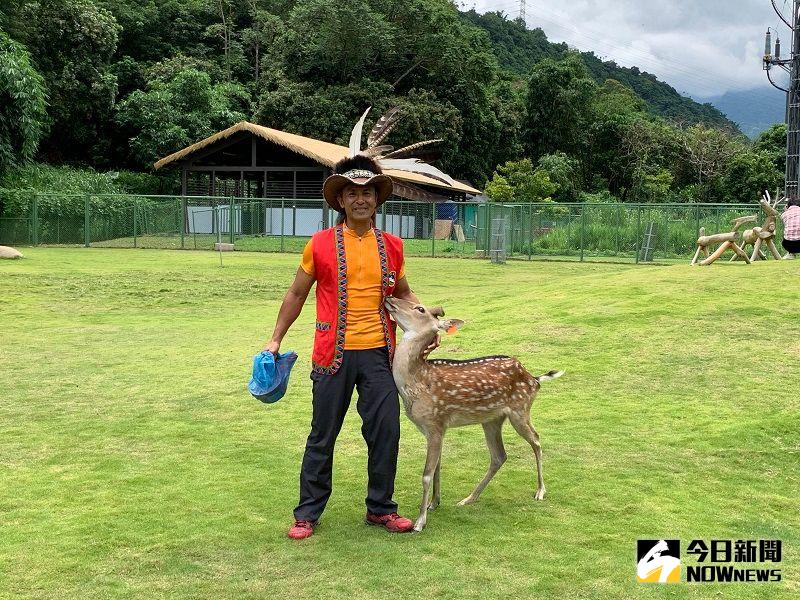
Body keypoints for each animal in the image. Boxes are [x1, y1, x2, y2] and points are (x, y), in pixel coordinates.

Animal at [382, 298, 564, 532]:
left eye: (420, 308)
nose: (389, 299)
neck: (416, 385)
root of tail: (534, 378)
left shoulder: (436, 422)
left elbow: (426, 474)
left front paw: (420, 521)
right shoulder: (434, 429)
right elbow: (438, 466)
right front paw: (434, 503)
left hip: (520, 409)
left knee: (536, 439)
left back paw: (540, 491)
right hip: (492, 419)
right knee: (499, 455)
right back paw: (469, 498)